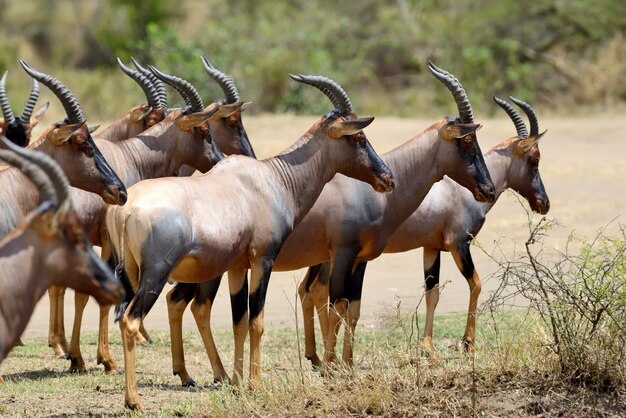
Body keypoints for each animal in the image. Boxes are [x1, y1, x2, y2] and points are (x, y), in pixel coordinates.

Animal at [105, 73, 392, 410]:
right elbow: (257, 320)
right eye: (358, 138)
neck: (271, 179)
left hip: (132, 273)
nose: (387, 178)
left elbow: (239, 321)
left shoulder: (237, 266)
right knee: (131, 320)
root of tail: (127, 207)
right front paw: (255, 384)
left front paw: (238, 382)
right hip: (155, 275)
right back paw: (134, 401)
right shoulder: (263, 260)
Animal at [163, 62, 494, 378]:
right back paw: (213, 375)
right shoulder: (342, 253)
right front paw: (332, 367)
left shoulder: (360, 260)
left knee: (184, 302)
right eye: (466, 141)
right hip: (213, 269)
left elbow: (352, 310)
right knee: (195, 305)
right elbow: (336, 307)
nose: (488, 189)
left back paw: (194, 373)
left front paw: (346, 365)